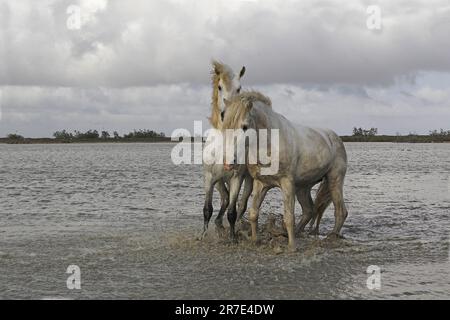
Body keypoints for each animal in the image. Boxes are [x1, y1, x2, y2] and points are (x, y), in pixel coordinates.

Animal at [200, 61, 253, 241]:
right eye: (220, 87)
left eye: (239, 88)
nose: (227, 114)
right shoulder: (210, 178)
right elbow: (207, 209)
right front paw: (203, 235)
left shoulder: (236, 178)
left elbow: (232, 211)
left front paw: (233, 237)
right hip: (219, 181)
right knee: (224, 198)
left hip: (247, 180)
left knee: (239, 203)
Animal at [221, 92, 348, 252]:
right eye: (225, 125)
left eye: (244, 126)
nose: (228, 163)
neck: (269, 145)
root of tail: (335, 137)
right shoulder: (260, 184)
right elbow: (253, 212)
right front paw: (255, 240)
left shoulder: (286, 183)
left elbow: (288, 216)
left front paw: (292, 247)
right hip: (303, 187)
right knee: (309, 210)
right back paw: (295, 233)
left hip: (334, 180)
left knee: (340, 211)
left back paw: (331, 236)